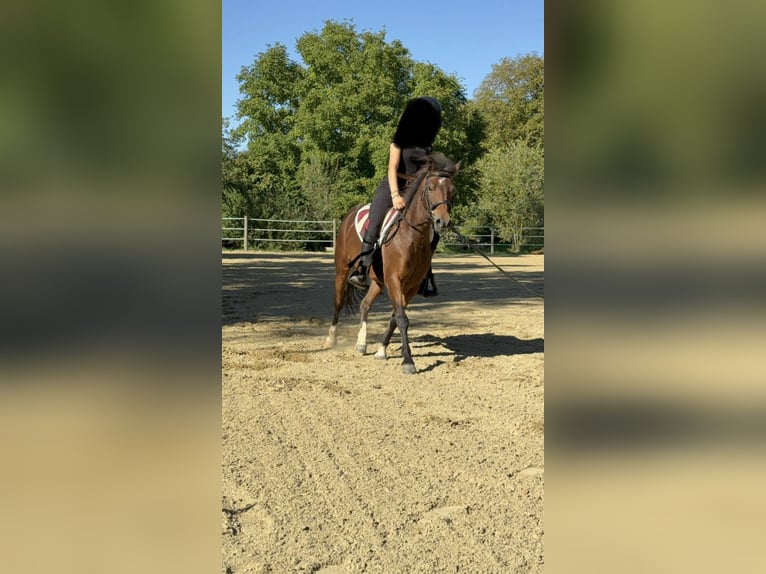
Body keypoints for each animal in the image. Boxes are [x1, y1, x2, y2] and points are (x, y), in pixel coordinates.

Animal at [325, 152, 460, 374]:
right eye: (430, 188)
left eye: (452, 191)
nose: (443, 222)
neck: (411, 235)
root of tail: (350, 213)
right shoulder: (394, 280)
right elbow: (402, 319)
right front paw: (408, 362)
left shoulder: (410, 286)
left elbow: (395, 318)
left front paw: (381, 351)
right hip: (342, 270)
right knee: (338, 302)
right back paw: (331, 338)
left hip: (378, 282)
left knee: (364, 304)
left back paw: (361, 343)